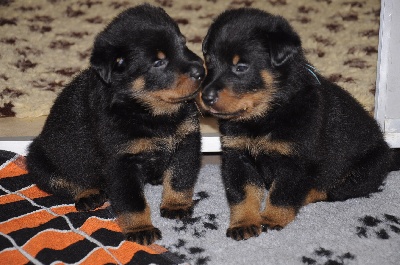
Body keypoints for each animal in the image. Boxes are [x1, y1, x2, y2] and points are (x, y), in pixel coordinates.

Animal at [26, 3, 205, 243]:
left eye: (183, 44)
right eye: (158, 62)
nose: (201, 71)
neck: (149, 112)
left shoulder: (186, 142)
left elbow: (179, 178)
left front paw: (175, 205)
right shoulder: (120, 162)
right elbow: (132, 203)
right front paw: (140, 229)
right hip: (38, 158)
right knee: (64, 181)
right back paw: (88, 194)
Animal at [200, 7, 400, 239]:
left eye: (241, 67)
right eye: (209, 61)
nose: (205, 97)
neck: (267, 114)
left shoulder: (296, 161)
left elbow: (282, 193)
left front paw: (271, 218)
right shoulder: (237, 155)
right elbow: (243, 194)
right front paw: (244, 222)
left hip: (363, 172)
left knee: (330, 190)